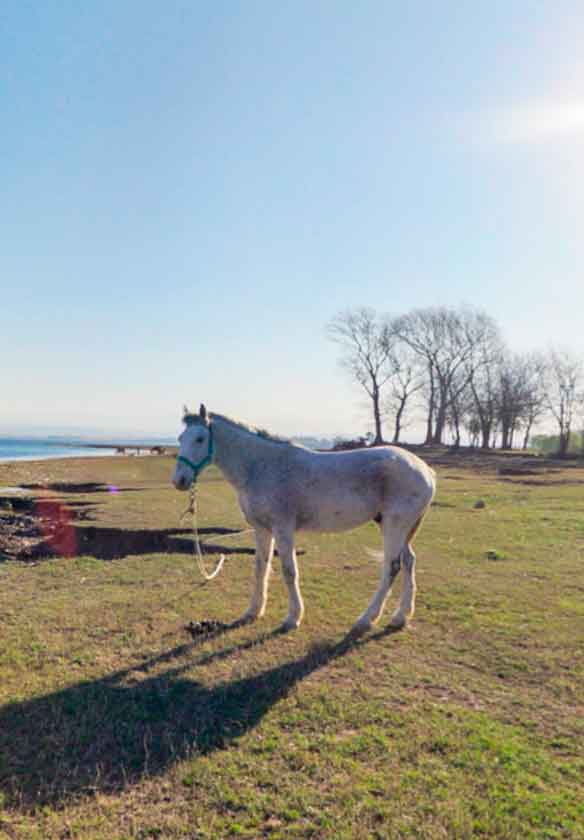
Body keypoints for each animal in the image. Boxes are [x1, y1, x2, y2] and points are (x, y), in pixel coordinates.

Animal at [172, 404, 436, 635]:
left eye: (200, 439)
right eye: (180, 438)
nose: (179, 480)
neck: (261, 467)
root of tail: (426, 470)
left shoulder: (283, 529)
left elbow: (289, 571)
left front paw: (292, 618)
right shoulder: (262, 529)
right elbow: (260, 568)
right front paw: (253, 612)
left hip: (394, 526)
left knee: (392, 566)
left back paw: (366, 619)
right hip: (399, 529)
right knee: (409, 561)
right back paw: (400, 617)